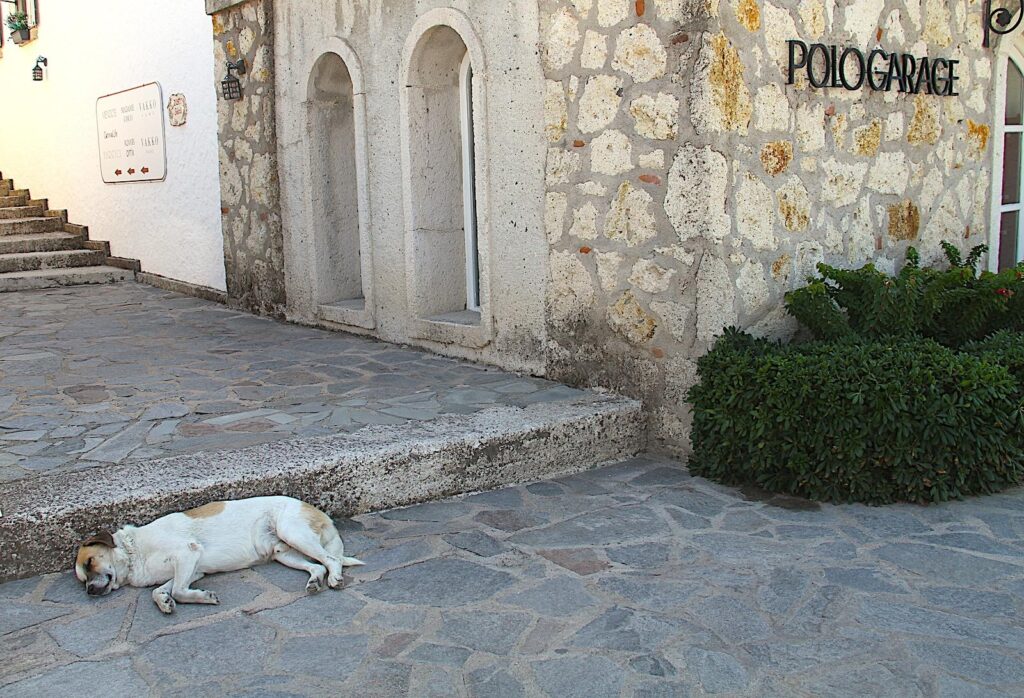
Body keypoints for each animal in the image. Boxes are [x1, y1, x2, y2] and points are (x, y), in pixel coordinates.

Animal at [74, 491, 364, 609]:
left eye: (89, 563)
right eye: (81, 579)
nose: (89, 592)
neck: (134, 554)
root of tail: (314, 509)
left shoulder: (187, 553)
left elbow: (179, 590)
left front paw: (203, 597)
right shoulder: (192, 571)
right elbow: (161, 591)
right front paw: (165, 602)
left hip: (293, 532)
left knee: (331, 559)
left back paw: (336, 578)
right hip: (285, 552)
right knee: (317, 566)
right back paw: (315, 582)